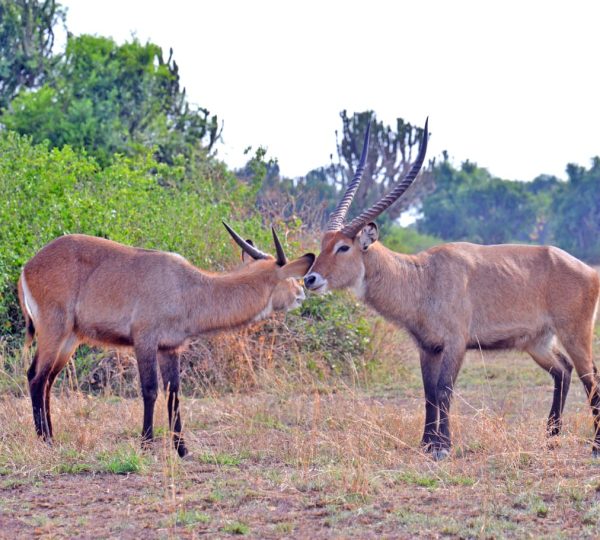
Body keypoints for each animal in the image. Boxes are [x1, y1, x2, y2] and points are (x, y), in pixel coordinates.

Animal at [18, 226, 314, 458]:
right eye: (292, 277)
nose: (302, 293)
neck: (188, 288)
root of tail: (27, 266)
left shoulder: (170, 348)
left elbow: (174, 394)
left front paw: (183, 450)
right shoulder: (144, 341)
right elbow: (150, 390)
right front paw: (147, 445)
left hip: (69, 340)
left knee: (46, 381)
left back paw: (52, 437)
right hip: (54, 331)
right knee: (36, 378)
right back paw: (45, 441)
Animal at [304, 119, 600, 460]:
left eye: (343, 247)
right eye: (323, 243)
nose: (310, 279)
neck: (421, 277)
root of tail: (588, 270)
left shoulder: (455, 344)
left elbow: (444, 389)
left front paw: (443, 446)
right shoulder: (427, 348)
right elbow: (429, 393)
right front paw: (426, 443)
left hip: (575, 334)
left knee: (591, 378)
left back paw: (594, 447)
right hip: (537, 342)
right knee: (563, 371)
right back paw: (550, 439)